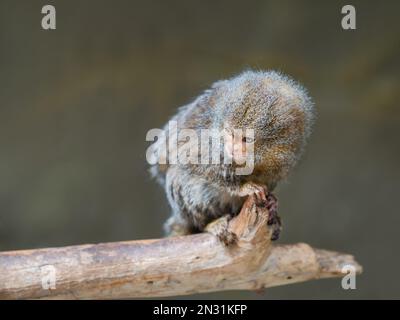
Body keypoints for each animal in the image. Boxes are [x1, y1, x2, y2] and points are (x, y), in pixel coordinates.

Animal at [148, 69, 314, 240]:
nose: (232, 148)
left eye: (246, 139)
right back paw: (209, 224)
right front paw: (243, 187)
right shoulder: (211, 142)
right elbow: (188, 158)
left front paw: (272, 203)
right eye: (229, 132)